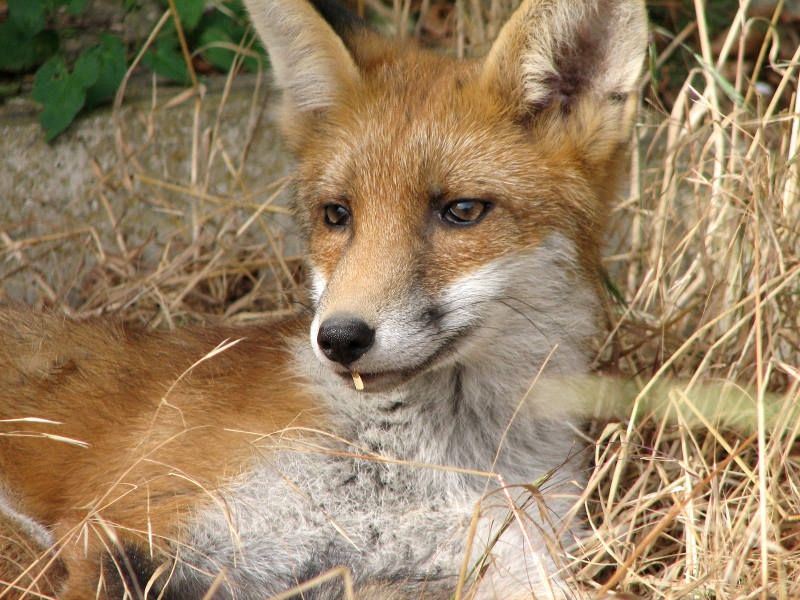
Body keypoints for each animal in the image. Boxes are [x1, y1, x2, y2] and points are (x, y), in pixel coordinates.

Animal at [0, 0, 648, 596]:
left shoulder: (514, 557)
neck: (427, 470)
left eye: (462, 211)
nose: (339, 338)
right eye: (337, 215)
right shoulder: (119, 521)